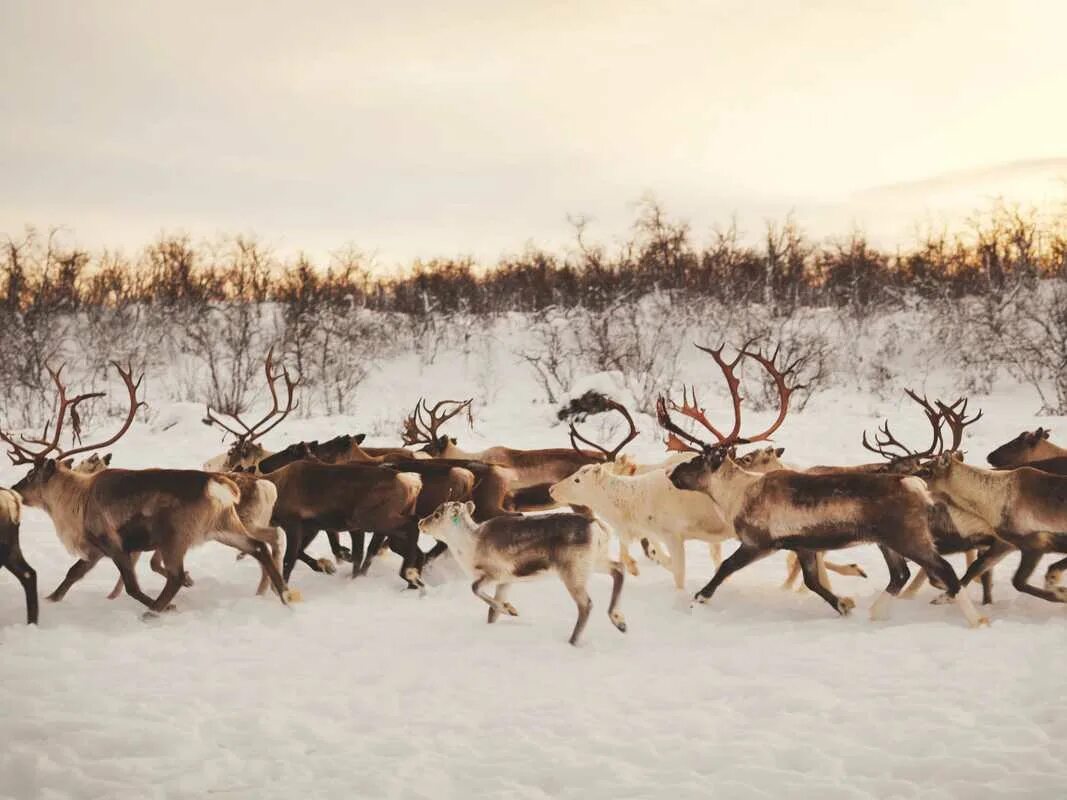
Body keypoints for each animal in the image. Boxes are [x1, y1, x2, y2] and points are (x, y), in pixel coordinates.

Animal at [413, 503, 623, 648]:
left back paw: (573, 640)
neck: (469, 545)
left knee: (586, 604)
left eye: (437, 514)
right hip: (595, 562)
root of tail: (597, 527)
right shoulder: (506, 581)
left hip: (573, 571)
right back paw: (619, 621)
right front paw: (504, 611)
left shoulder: (496, 574)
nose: (420, 522)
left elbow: (475, 588)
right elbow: (491, 613)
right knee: (618, 569)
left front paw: (510, 609)